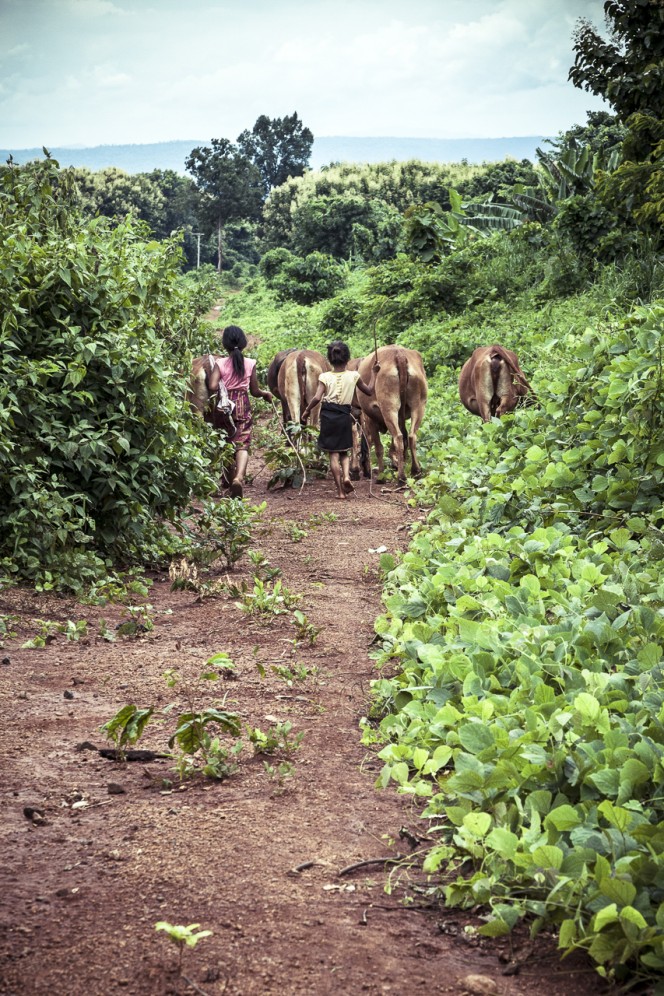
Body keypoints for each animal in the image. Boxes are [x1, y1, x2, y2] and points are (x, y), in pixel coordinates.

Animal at [350, 346, 428, 482]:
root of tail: (399, 354)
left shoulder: (368, 418)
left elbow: (375, 446)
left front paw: (378, 474)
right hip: (418, 405)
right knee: (410, 436)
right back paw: (415, 471)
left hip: (388, 408)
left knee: (398, 437)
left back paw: (400, 477)